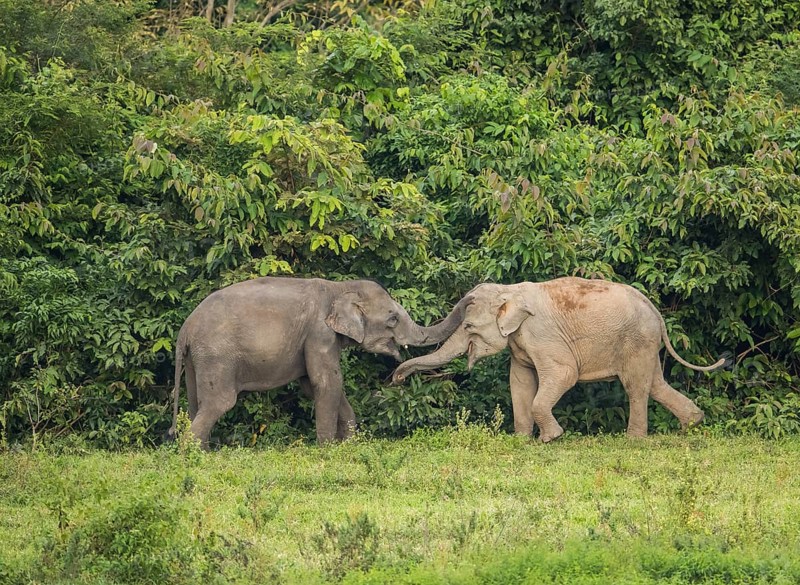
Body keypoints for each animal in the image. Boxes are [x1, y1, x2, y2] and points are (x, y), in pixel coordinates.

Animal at [168, 277, 469, 447]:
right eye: (393, 319)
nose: (470, 298)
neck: (341, 288)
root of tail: (185, 329)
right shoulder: (319, 332)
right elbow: (327, 382)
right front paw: (327, 449)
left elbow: (314, 386)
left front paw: (348, 445)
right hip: (217, 355)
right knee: (219, 402)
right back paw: (195, 457)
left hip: (198, 360)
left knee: (196, 402)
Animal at [392, 277, 727, 442]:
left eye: (469, 327)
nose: (395, 379)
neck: (509, 291)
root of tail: (656, 311)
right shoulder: (520, 341)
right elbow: (519, 382)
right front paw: (521, 440)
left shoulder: (542, 334)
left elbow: (564, 374)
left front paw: (550, 439)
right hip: (645, 344)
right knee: (655, 383)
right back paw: (692, 425)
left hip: (637, 339)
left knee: (636, 386)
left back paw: (634, 441)